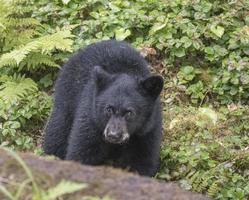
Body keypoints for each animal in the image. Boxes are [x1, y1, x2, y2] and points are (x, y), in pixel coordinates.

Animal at [42, 39, 163, 177]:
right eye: (108, 109)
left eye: (129, 112)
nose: (113, 135)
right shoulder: (91, 119)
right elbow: (81, 153)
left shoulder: (147, 130)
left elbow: (141, 162)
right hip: (67, 96)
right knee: (57, 132)